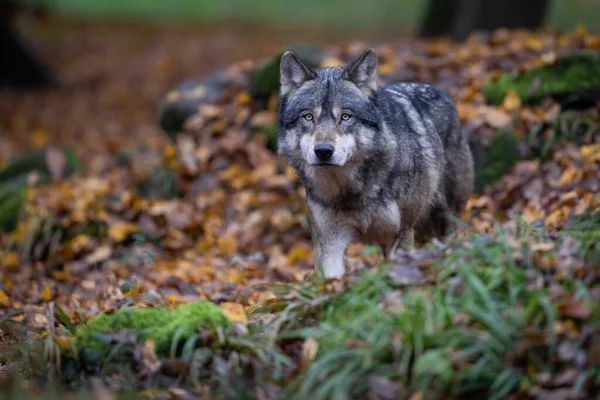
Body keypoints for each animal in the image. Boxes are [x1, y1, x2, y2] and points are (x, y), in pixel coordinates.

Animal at [276, 48, 474, 280]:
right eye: (308, 117)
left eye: (346, 117)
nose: (323, 151)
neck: (352, 192)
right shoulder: (330, 243)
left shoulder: (402, 232)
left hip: (447, 217)